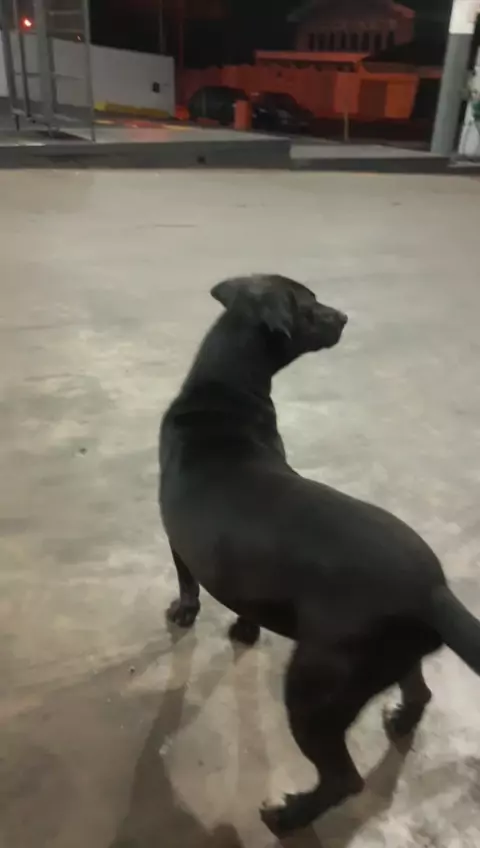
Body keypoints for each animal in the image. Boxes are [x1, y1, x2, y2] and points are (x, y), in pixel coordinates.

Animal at [159, 273, 480, 835]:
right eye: (310, 306)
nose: (346, 316)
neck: (225, 391)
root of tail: (434, 592)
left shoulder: (178, 539)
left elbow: (187, 581)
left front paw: (184, 612)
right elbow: (242, 602)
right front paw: (243, 628)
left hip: (315, 687)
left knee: (344, 779)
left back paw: (287, 816)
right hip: (386, 659)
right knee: (418, 690)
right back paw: (401, 720)